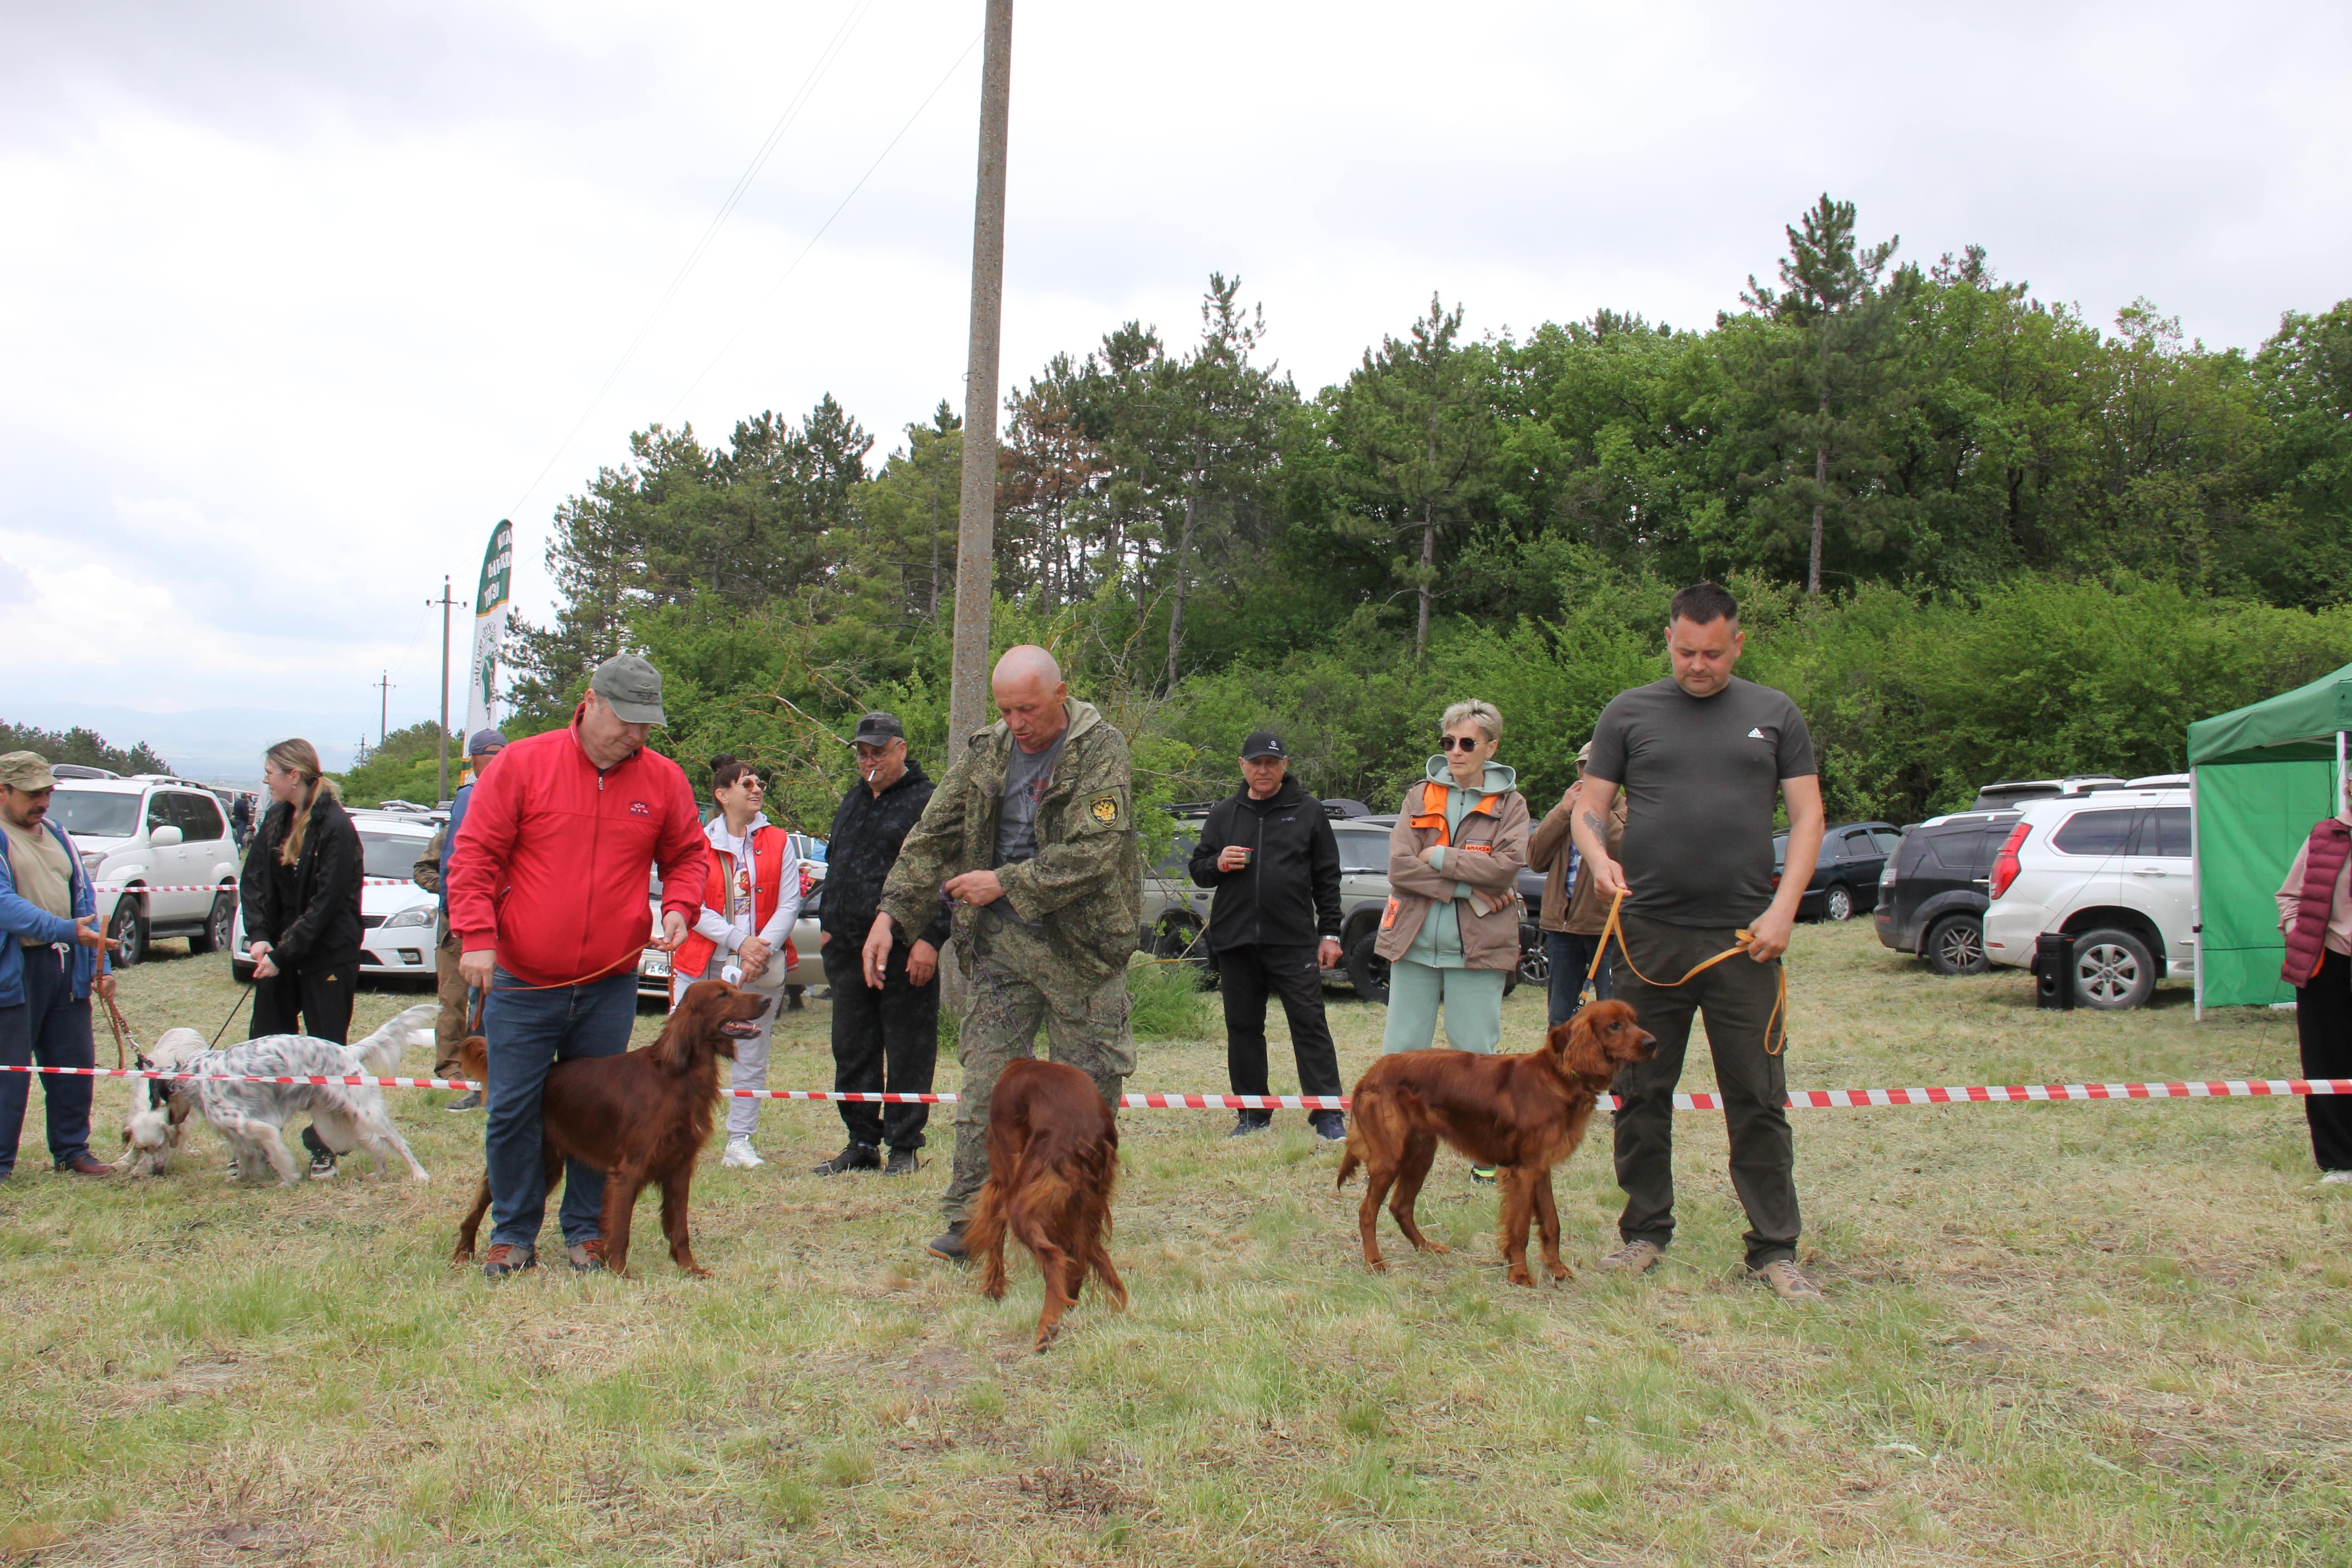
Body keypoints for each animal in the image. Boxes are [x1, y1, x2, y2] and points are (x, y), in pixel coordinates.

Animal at [149, 1003, 439, 1186]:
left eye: (161, 1100)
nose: (171, 1121)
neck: (196, 1074)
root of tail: (348, 1050)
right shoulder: (237, 1134)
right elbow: (245, 1156)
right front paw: (243, 1178)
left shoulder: (254, 1125)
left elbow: (276, 1154)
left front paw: (288, 1180)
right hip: (340, 1119)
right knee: (375, 1145)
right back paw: (378, 1174)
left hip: (366, 1113)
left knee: (398, 1143)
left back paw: (420, 1175)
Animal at [451, 979, 770, 1277]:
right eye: (723, 995)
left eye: (735, 987)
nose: (767, 1000)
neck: (677, 1074)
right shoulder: (629, 1170)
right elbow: (620, 1229)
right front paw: (619, 1272)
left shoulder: (680, 1167)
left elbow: (680, 1229)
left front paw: (690, 1269)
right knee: (477, 1209)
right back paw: (464, 1255)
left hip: (549, 1166)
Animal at [966, 1057, 1128, 1352]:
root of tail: (1087, 1138)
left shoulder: (1002, 1180)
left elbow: (994, 1232)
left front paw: (994, 1289)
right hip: (1087, 1204)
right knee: (1090, 1254)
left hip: (1023, 1201)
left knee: (1055, 1257)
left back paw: (1046, 1329)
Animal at [1337, 999, 1656, 1287]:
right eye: (1614, 1025)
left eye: (1634, 1020)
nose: (1653, 1043)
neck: (1558, 1076)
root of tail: (1370, 1075)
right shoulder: (1523, 1171)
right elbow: (1520, 1228)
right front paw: (1520, 1274)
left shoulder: (1540, 1168)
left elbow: (1552, 1223)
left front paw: (1557, 1269)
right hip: (1390, 1158)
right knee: (1368, 1211)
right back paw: (1375, 1261)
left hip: (1421, 1153)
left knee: (1400, 1206)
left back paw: (1426, 1247)